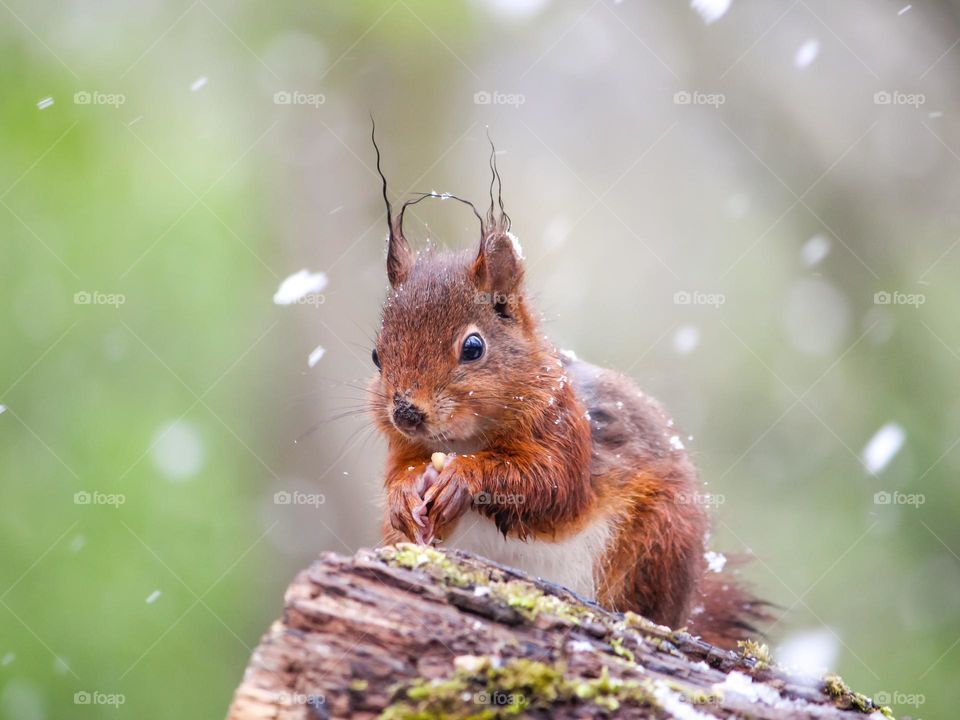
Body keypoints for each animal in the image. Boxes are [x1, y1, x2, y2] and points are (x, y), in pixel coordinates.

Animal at [366, 131, 764, 648]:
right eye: (376, 356)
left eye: (473, 347)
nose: (406, 413)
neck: (467, 438)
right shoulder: (403, 448)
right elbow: (401, 474)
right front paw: (406, 493)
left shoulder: (567, 429)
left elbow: (551, 486)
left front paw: (463, 477)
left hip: (659, 542)